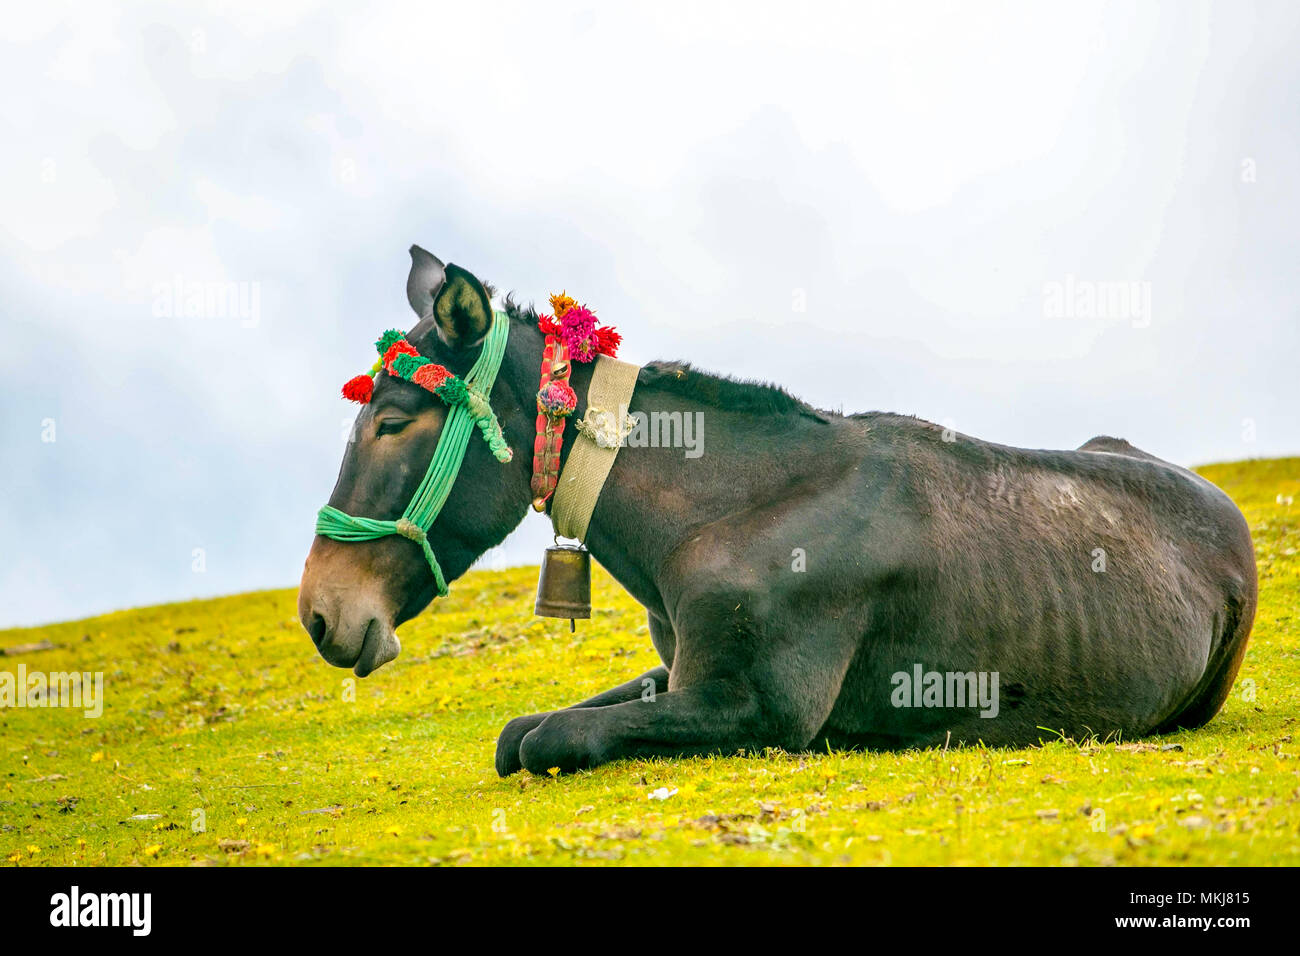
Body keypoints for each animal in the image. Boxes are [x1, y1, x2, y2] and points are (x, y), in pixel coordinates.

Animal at [298, 246, 1257, 776]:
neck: (728, 514)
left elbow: (547, 740)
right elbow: (520, 732)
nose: (319, 613)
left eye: (392, 421)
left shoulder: (756, 707)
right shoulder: (682, 675)